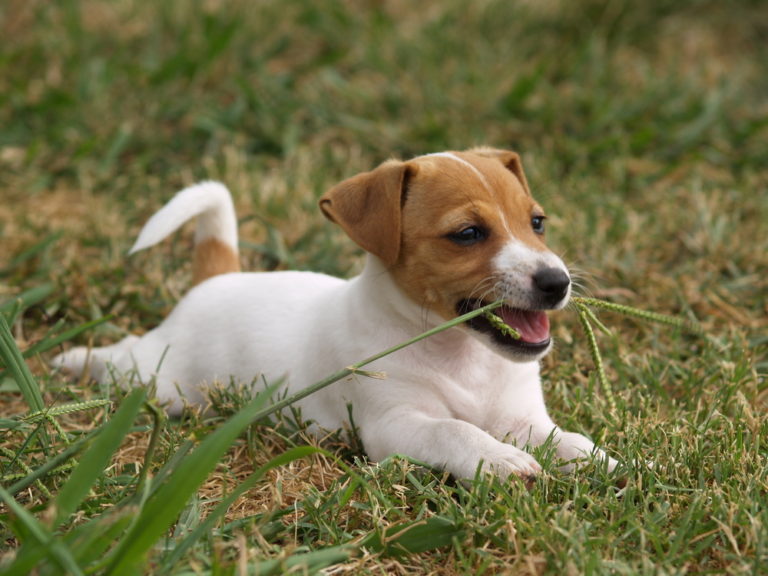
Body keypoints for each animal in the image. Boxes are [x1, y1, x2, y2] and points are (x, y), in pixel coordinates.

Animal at [54, 148, 616, 482]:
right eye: (468, 234)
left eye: (537, 222)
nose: (557, 282)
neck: (463, 357)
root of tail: (217, 280)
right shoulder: (394, 425)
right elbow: (453, 431)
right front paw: (499, 459)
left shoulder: (522, 418)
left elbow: (568, 440)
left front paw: (611, 462)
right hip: (161, 381)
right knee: (125, 359)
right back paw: (73, 358)